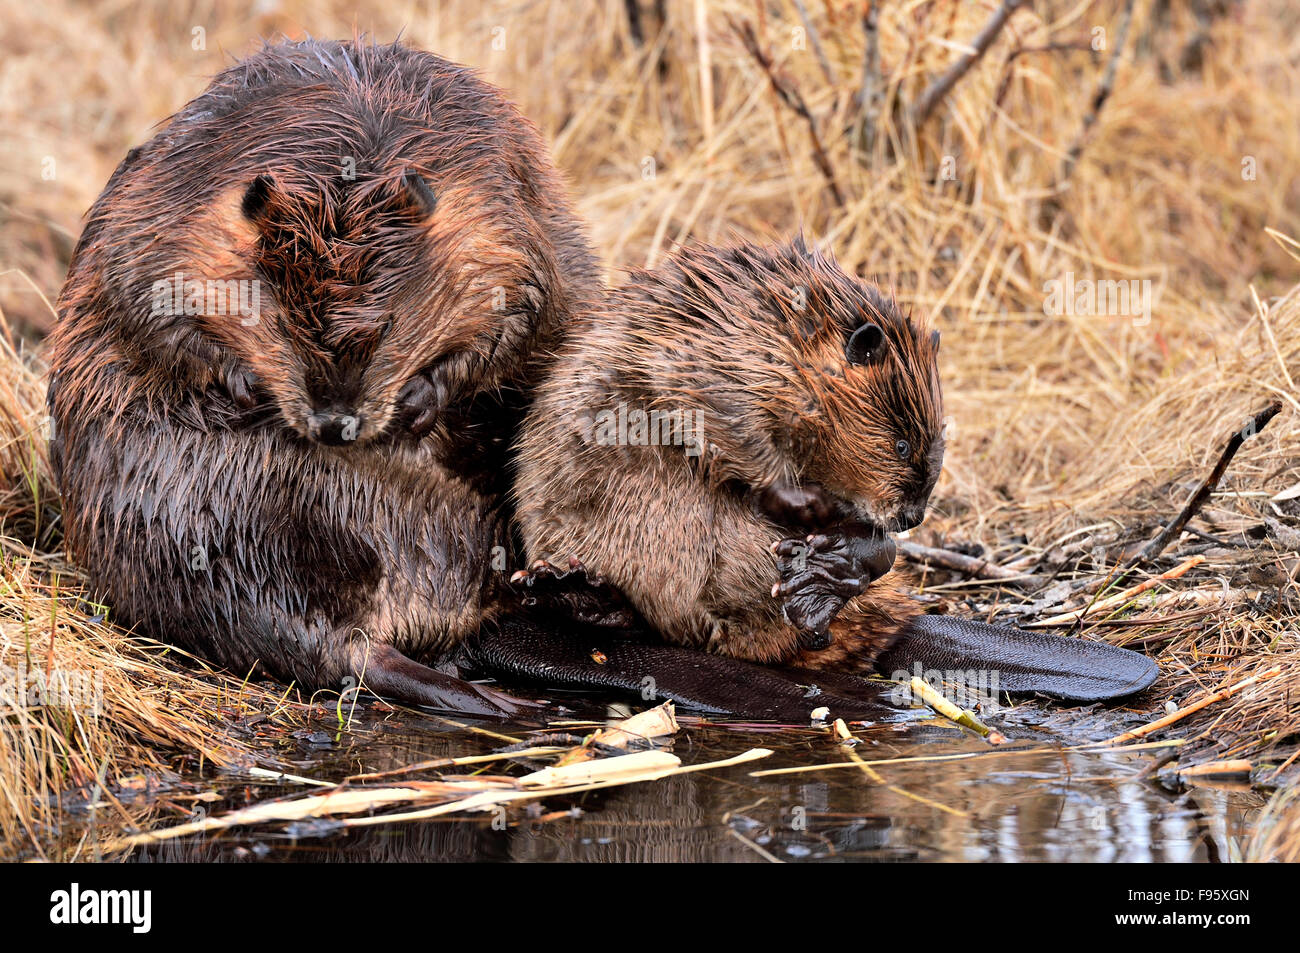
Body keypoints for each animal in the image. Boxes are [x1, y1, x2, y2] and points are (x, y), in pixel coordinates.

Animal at [48, 40, 598, 717]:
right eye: (283, 322)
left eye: (386, 327)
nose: (335, 426)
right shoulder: (173, 211)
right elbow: (143, 298)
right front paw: (243, 388)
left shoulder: (502, 209)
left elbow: (525, 309)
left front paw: (421, 399)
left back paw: (564, 596)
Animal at [488, 237, 1159, 712]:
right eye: (900, 442)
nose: (911, 515)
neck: (786, 339)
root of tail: (903, 629)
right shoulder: (716, 362)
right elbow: (715, 424)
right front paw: (805, 503)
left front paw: (835, 527)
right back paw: (567, 588)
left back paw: (820, 580)